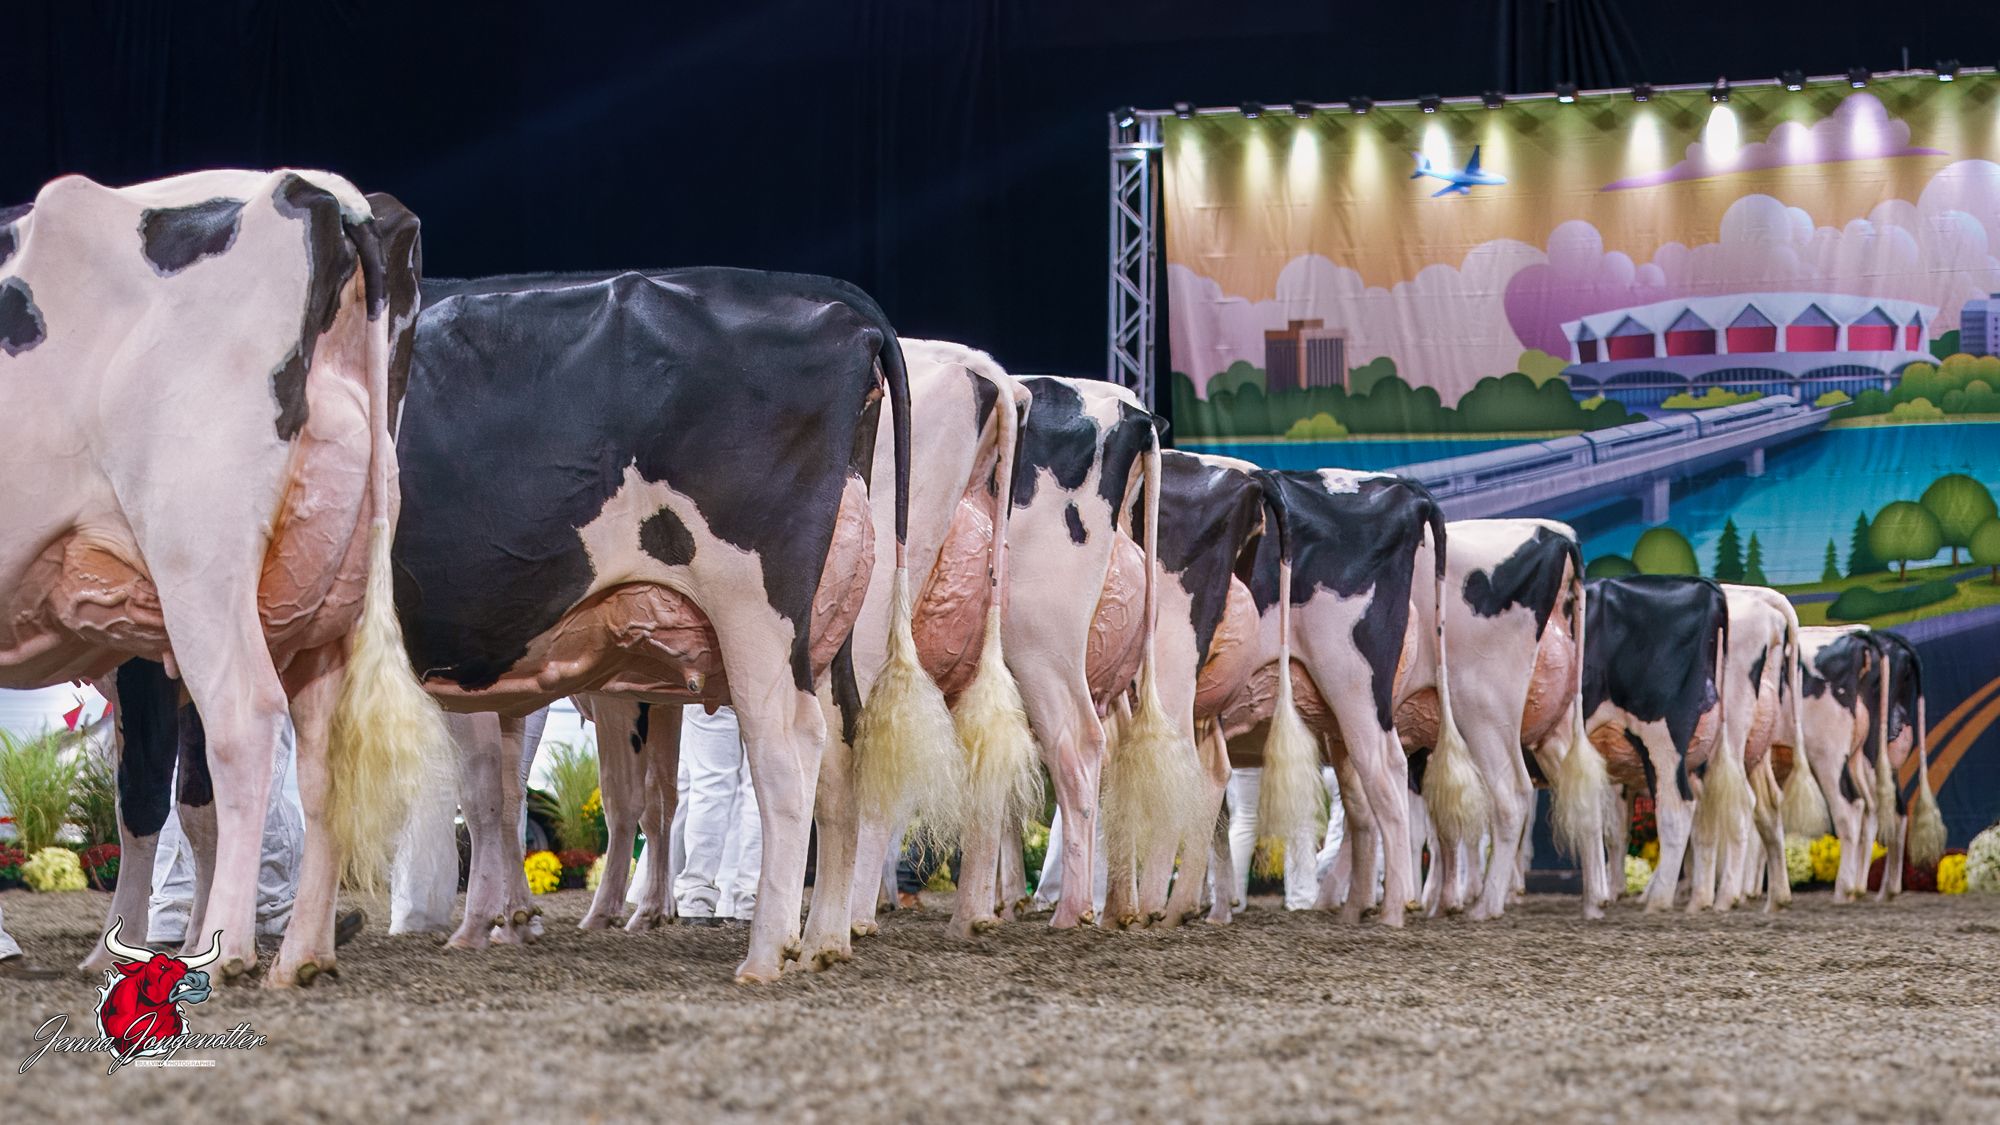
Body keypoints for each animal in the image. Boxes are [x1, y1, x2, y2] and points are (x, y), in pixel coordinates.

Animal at [0, 170, 437, 986]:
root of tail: (329, 195)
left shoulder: (140, 655)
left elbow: (147, 800)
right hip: (327, 594)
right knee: (320, 761)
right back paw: (300, 955)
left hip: (198, 562)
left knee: (244, 719)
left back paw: (228, 949)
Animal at [368, 266, 924, 982]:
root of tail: (838, 302)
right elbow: (508, 791)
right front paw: (509, 917)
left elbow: (487, 794)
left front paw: (481, 924)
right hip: (824, 630)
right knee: (840, 755)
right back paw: (823, 940)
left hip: (753, 609)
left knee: (787, 750)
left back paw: (765, 952)